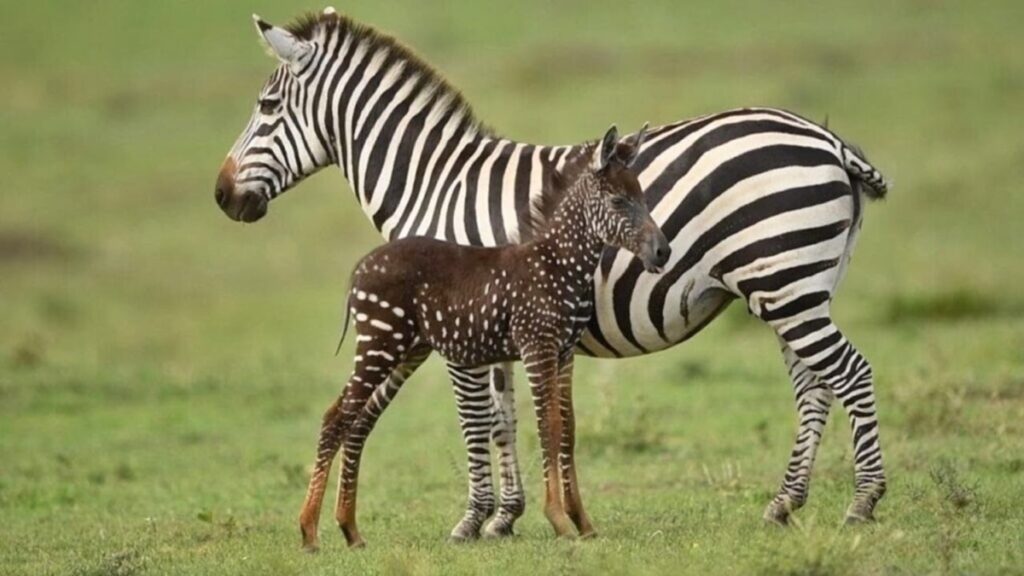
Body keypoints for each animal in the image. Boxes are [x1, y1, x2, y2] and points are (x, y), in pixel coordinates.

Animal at [300, 126, 666, 550]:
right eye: (618, 201)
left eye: (643, 197)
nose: (663, 251)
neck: (557, 263)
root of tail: (361, 267)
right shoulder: (537, 346)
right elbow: (548, 426)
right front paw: (559, 521)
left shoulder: (563, 353)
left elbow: (567, 427)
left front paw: (583, 523)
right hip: (380, 343)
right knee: (336, 417)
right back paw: (309, 532)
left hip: (406, 350)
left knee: (357, 419)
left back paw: (350, 529)